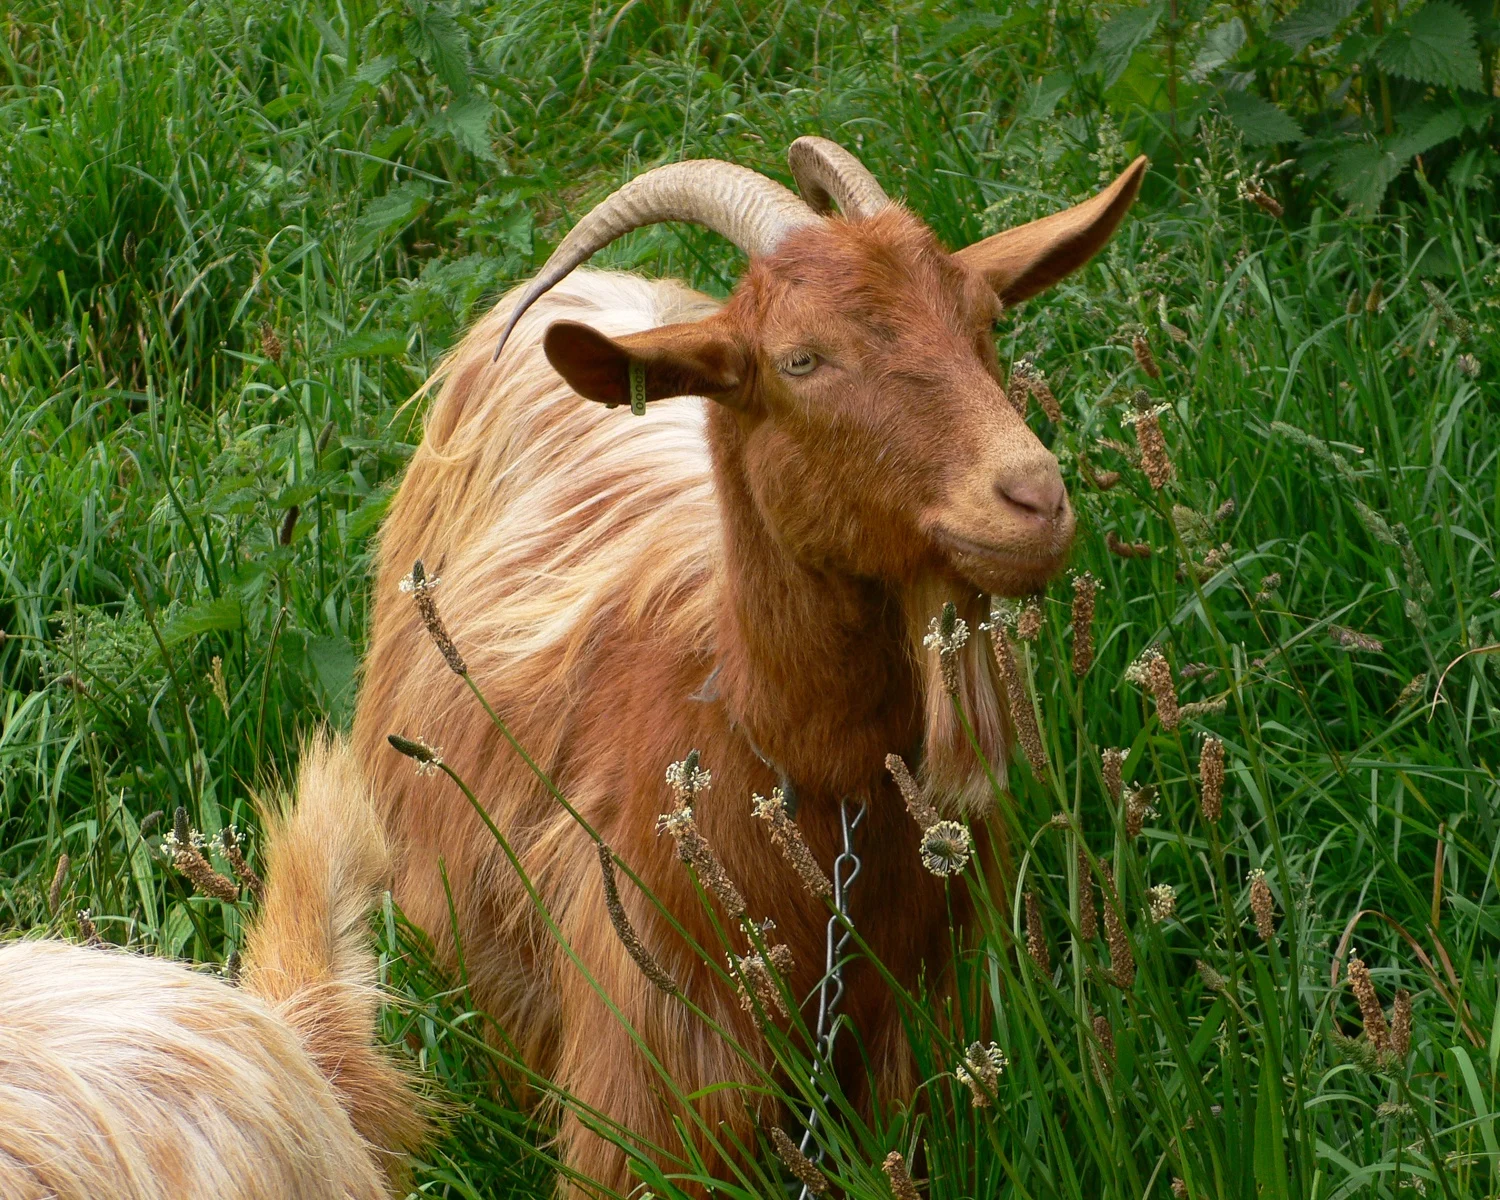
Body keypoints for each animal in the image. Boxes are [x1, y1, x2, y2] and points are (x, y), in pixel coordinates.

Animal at [351, 138, 1146, 1188]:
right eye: (799, 360)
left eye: (983, 321)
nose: (1033, 498)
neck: (818, 784)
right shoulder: (651, 1071)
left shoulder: (926, 1042)